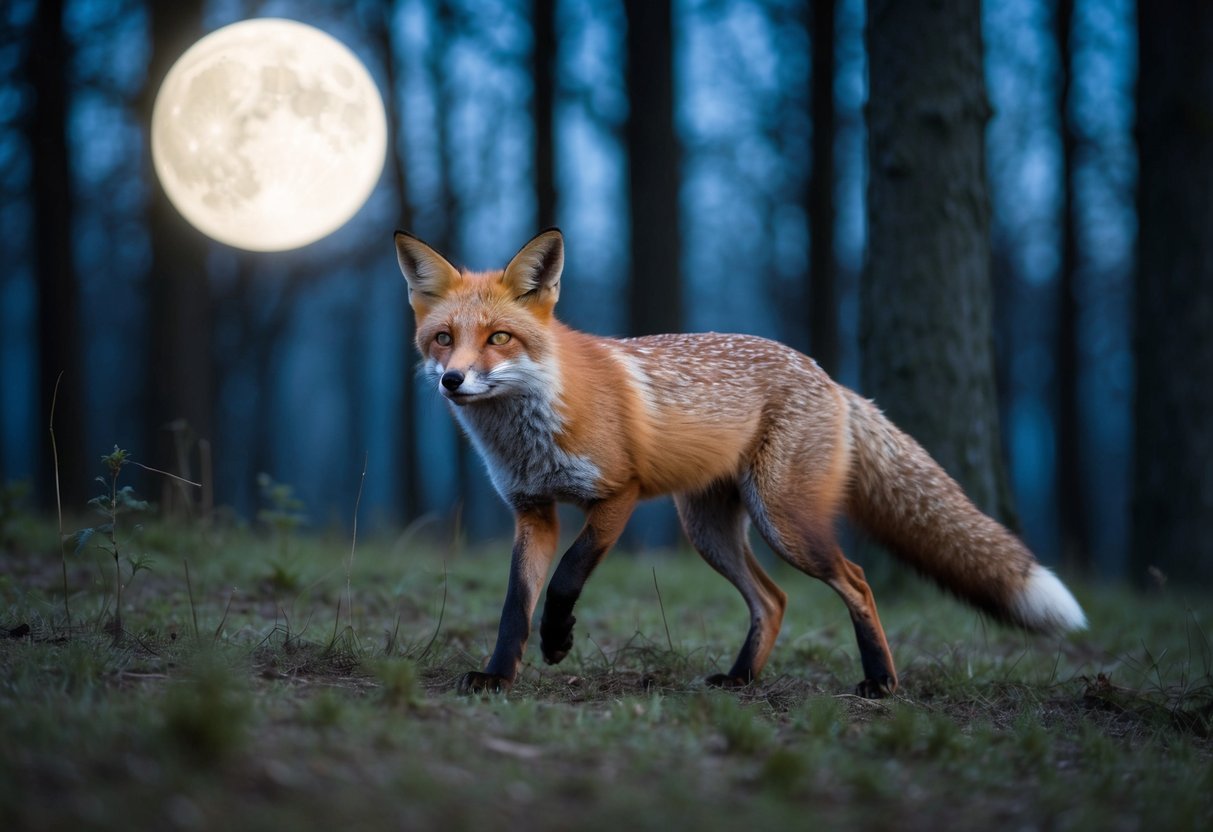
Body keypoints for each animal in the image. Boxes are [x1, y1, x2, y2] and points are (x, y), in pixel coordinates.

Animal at [394, 227, 1087, 698]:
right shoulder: (533, 510)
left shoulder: (617, 495)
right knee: (773, 601)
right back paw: (740, 679)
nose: (453, 381)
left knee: (856, 579)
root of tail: (831, 379)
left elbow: (566, 578)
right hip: (711, 531)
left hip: (787, 523)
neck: (533, 429)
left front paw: (558, 639)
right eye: (443, 339)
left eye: (499, 338)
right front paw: (497, 675)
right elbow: (514, 604)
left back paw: (881, 683)